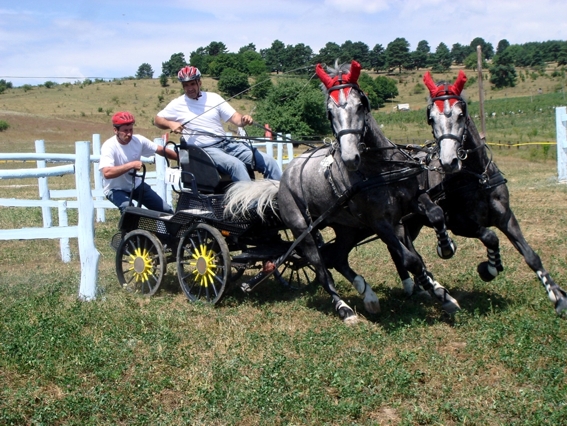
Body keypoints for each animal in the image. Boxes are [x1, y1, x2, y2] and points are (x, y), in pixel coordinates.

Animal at [224, 58, 460, 322]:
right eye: (330, 111)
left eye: (360, 105)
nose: (349, 158)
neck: (380, 168)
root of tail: (282, 182)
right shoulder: (379, 222)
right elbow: (411, 259)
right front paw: (439, 294)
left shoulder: (412, 200)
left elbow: (435, 215)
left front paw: (445, 252)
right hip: (302, 229)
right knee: (320, 266)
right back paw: (344, 308)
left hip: (345, 227)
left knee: (337, 256)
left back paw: (368, 295)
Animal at [400, 70, 567, 314]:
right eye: (431, 118)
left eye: (461, 114)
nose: (449, 161)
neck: (478, 177)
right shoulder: (458, 223)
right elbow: (490, 236)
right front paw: (488, 268)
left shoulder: (506, 216)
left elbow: (530, 255)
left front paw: (556, 295)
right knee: (407, 250)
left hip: (413, 223)